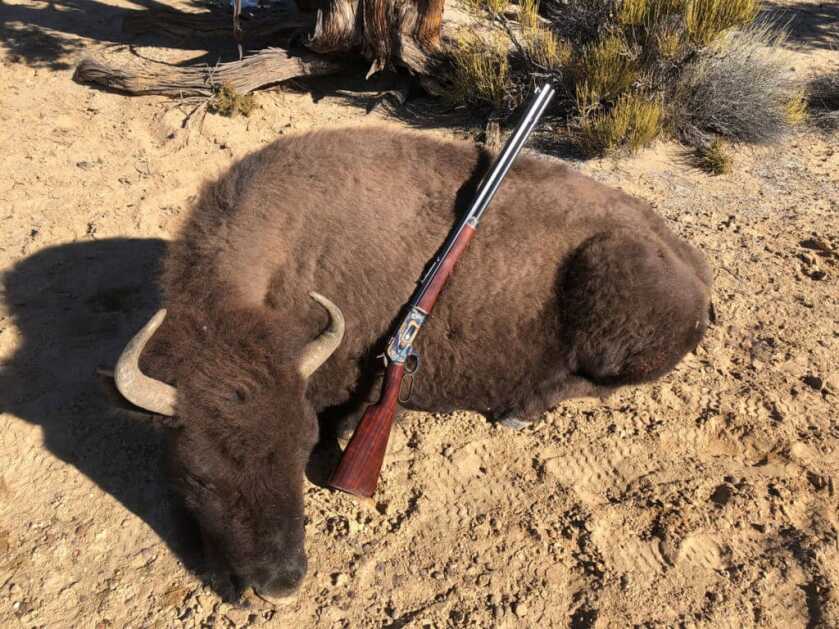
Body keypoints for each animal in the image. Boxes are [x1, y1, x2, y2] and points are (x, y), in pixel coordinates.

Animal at [106, 126, 712, 598]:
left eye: (301, 449)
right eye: (197, 473)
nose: (280, 584)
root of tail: (693, 264)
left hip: (605, 295)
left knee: (597, 380)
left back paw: (517, 411)